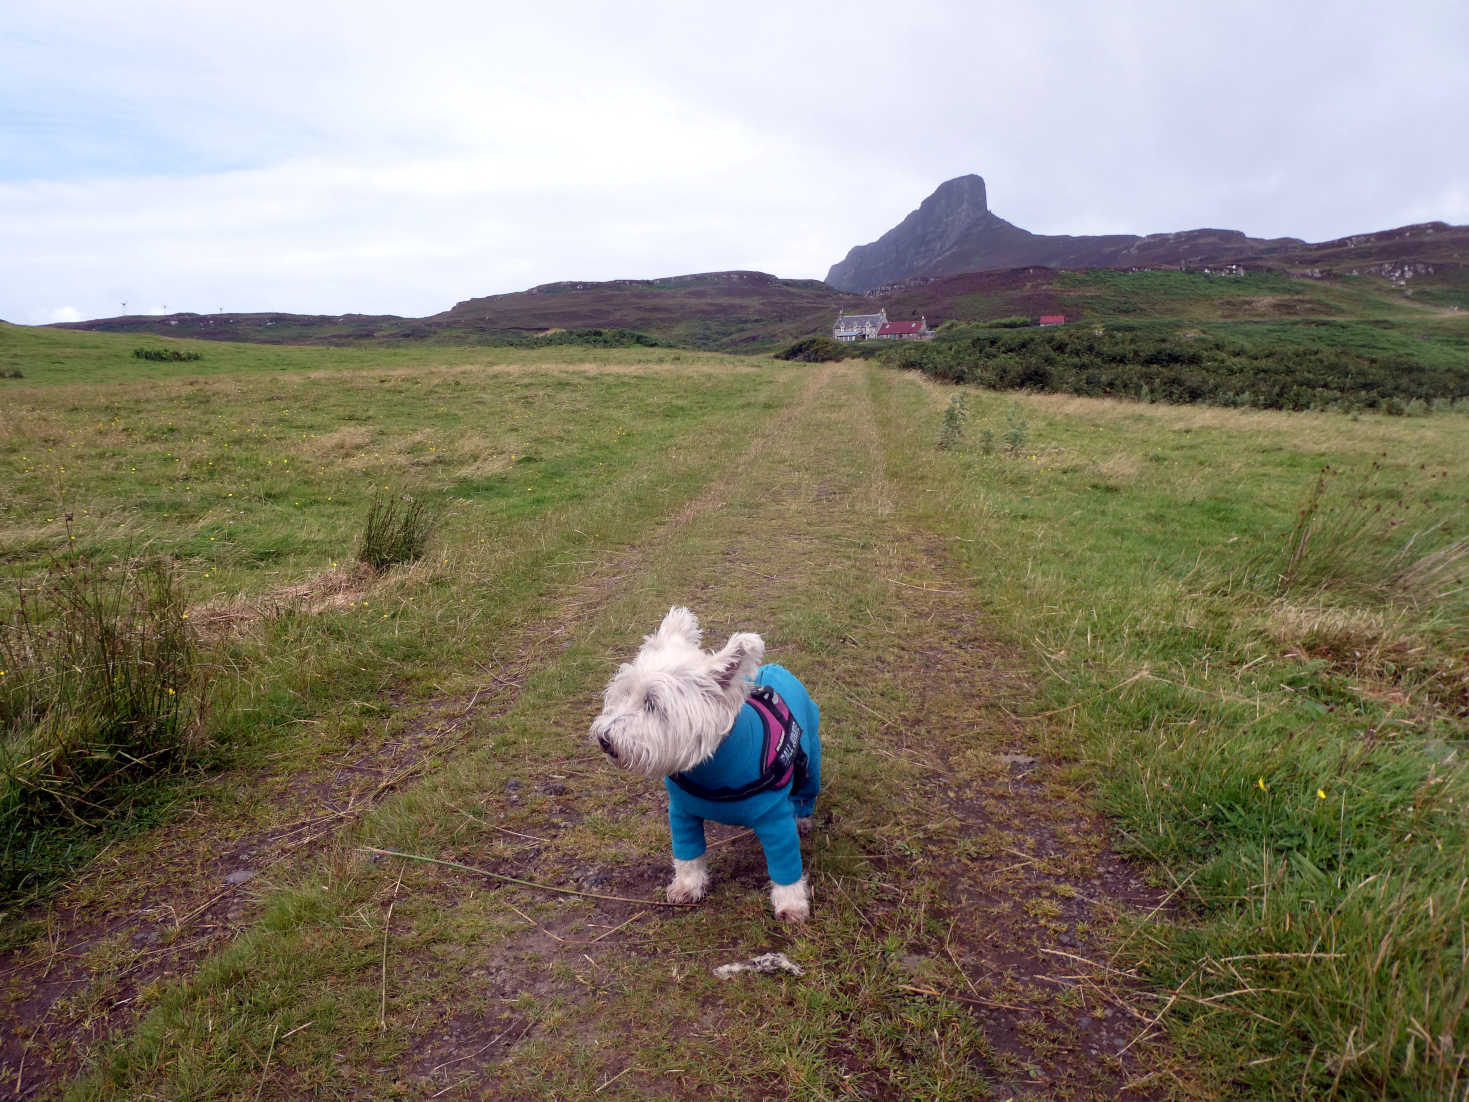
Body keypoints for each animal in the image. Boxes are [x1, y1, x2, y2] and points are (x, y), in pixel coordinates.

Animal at [590, 614, 822, 922]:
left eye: (652, 703)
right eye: (625, 692)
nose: (604, 738)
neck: (713, 770)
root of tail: (774, 668)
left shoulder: (775, 820)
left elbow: (785, 867)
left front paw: (791, 904)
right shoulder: (682, 814)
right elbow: (687, 856)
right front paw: (688, 886)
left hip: (811, 765)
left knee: (806, 795)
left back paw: (804, 819)